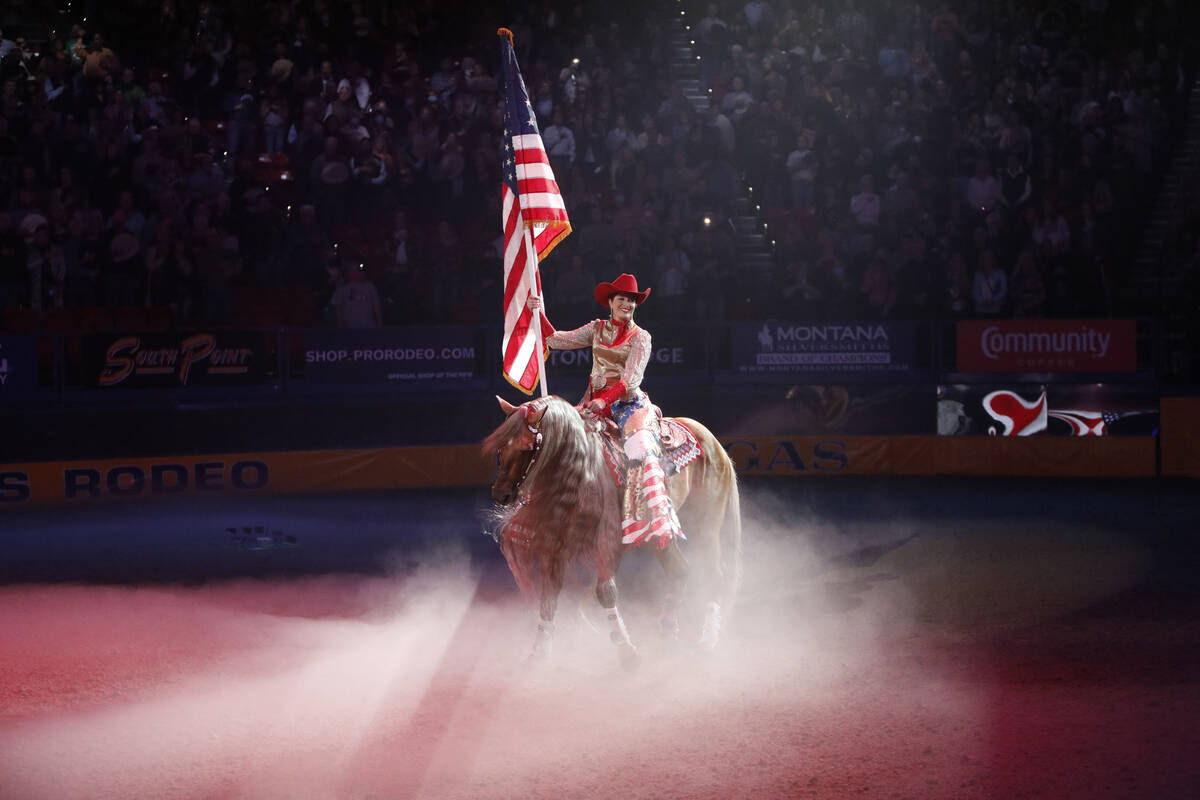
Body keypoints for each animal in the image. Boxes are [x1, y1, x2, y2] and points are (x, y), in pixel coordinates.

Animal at [482, 395, 734, 671]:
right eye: (500, 447)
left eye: (528, 447)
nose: (501, 494)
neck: (581, 475)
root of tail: (712, 442)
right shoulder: (553, 548)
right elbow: (548, 599)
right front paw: (538, 651)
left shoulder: (608, 545)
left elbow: (605, 592)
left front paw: (627, 651)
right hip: (660, 533)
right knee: (679, 570)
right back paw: (667, 630)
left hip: (706, 524)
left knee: (715, 575)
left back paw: (707, 640)